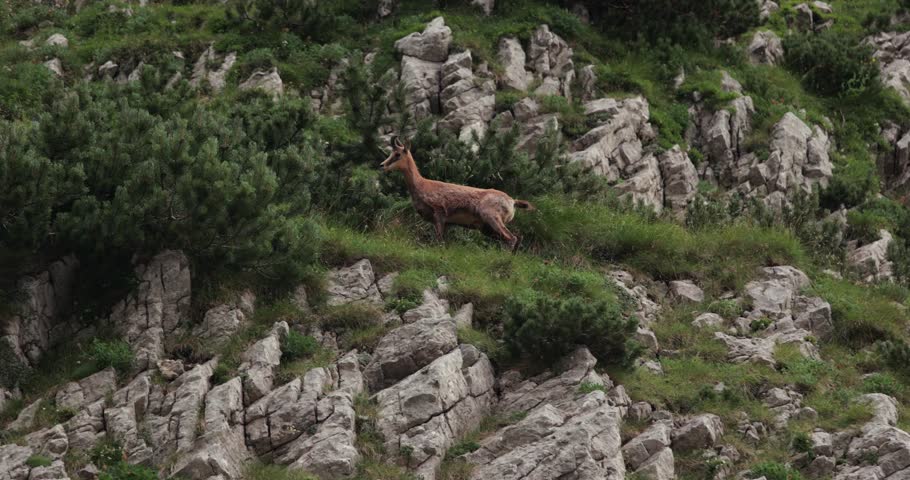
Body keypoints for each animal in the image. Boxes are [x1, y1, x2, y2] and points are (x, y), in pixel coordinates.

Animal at [380, 137, 535, 250]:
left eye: (397, 154)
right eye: (391, 153)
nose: (382, 165)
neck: (422, 185)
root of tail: (512, 201)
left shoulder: (439, 213)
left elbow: (439, 240)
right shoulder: (446, 222)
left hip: (491, 217)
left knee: (511, 238)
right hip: (486, 228)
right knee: (516, 238)